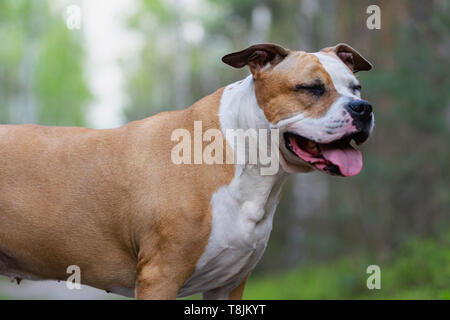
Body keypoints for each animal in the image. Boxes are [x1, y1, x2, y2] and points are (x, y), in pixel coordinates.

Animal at [0, 43, 372, 300]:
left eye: (356, 87)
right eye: (311, 88)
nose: (363, 108)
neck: (241, 154)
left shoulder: (229, 284)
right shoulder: (160, 277)